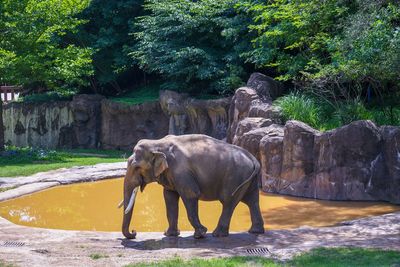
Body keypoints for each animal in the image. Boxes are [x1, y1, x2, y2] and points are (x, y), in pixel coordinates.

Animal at [122, 135, 266, 240]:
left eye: (137, 167)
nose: (134, 232)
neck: (158, 143)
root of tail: (252, 157)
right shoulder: (170, 174)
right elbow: (169, 197)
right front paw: (169, 234)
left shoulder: (181, 172)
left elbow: (191, 194)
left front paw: (200, 234)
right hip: (247, 178)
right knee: (252, 200)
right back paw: (255, 231)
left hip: (236, 177)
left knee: (228, 202)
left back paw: (217, 234)